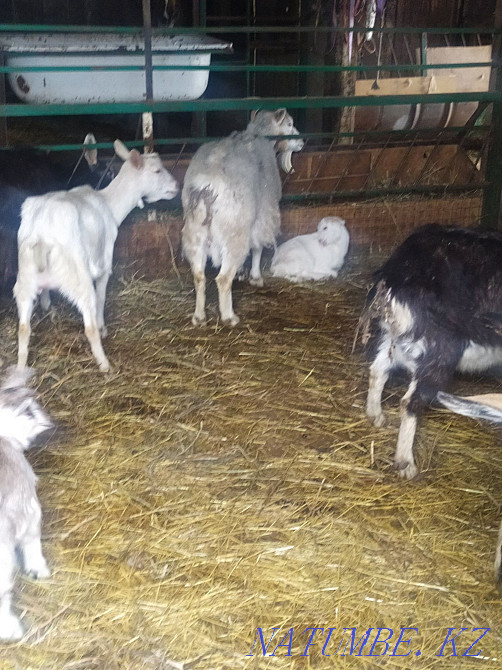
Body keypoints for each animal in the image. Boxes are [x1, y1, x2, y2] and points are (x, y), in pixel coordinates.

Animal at [14, 140, 178, 372]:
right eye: (157, 170)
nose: (176, 186)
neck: (109, 202)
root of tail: (42, 237)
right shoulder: (104, 261)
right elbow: (102, 296)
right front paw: (103, 328)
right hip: (78, 278)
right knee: (88, 325)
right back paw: (105, 364)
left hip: (25, 279)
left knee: (23, 328)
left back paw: (20, 369)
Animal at [181, 108, 304, 326]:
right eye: (289, 124)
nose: (302, 142)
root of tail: (208, 186)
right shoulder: (262, 214)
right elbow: (257, 247)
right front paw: (255, 276)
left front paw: (242, 273)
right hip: (234, 230)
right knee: (222, 279)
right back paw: (229, 316)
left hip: (195, 231)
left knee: (199, 276)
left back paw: (199, 316)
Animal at [361, 224, 502, 479]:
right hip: (440, 348)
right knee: (411, 401)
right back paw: (405, 463)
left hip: (396, 337)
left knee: (378, 369)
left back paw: (375, 415)